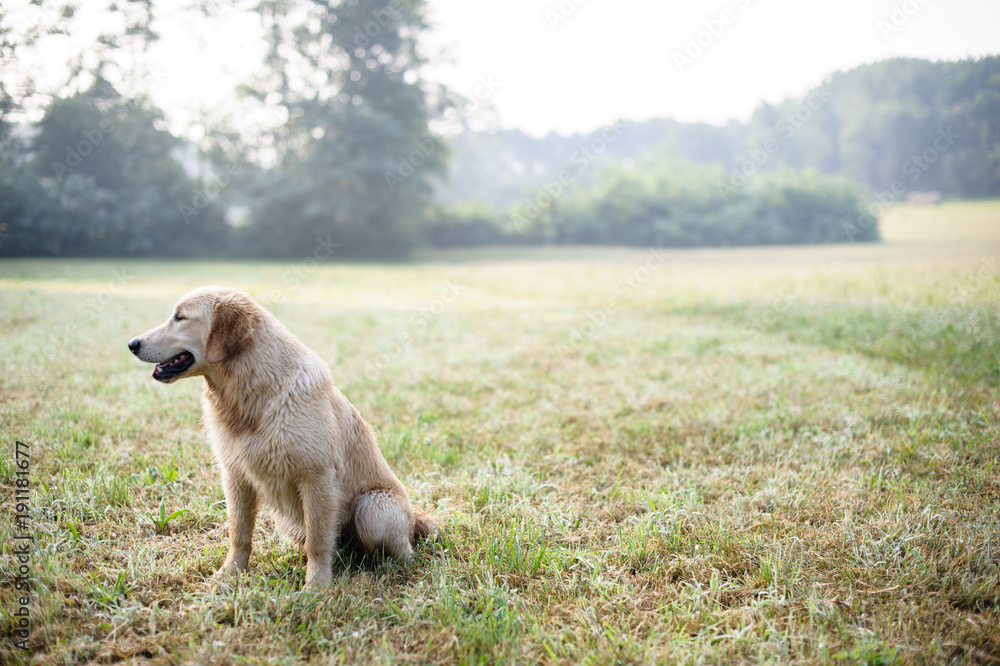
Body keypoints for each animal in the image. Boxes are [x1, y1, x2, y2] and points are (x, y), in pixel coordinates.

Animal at [127, 286, 436, 588]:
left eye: (180, 317)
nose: (132, 344)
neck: (250, 394)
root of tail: (414, 517)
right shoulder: (235, 476)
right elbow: (239, 534)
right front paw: (229, 575)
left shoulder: (317, 479)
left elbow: (318, 542)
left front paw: (316, 588)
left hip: (372, 508)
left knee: (399, 552)